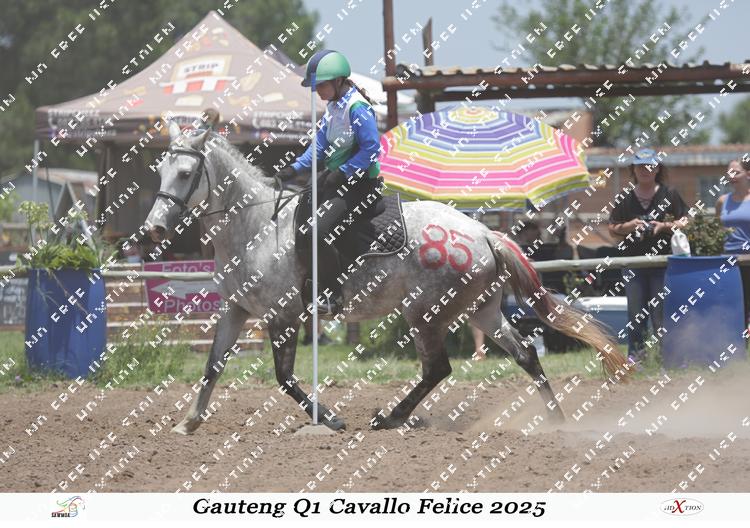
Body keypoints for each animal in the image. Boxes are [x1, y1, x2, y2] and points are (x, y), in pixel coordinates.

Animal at [145, 121, 629, 435]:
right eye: (160, 171)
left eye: (185, 173)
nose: (154, 228)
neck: (259, 227)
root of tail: (483, 234)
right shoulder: (237, 310)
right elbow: (212, 365)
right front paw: (188, 422)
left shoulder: (282, 317)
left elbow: (283, 377)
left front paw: (331, 419)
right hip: (482, 311)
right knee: (525, 353)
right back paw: (555, 421)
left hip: (425, 313)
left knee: (438, 367)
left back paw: (390, 417)